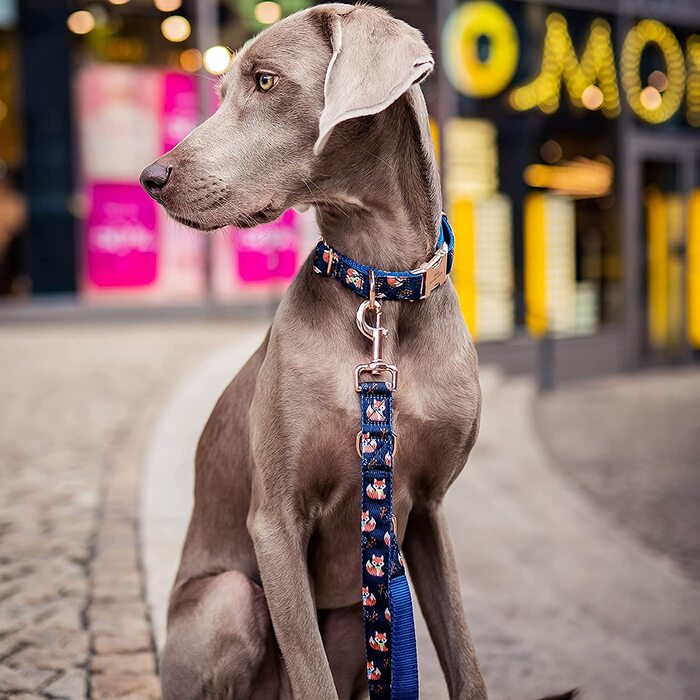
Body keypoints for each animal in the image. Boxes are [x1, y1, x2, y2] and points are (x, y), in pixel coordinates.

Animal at [141, 2, 568, 696]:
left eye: (264, 82)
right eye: (221, 91)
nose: (152, 177)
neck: (381, 289)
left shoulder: (427, 509)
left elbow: (465, 661)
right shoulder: (276, 521)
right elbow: (310, 674)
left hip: (352, 618)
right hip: (229, 598)